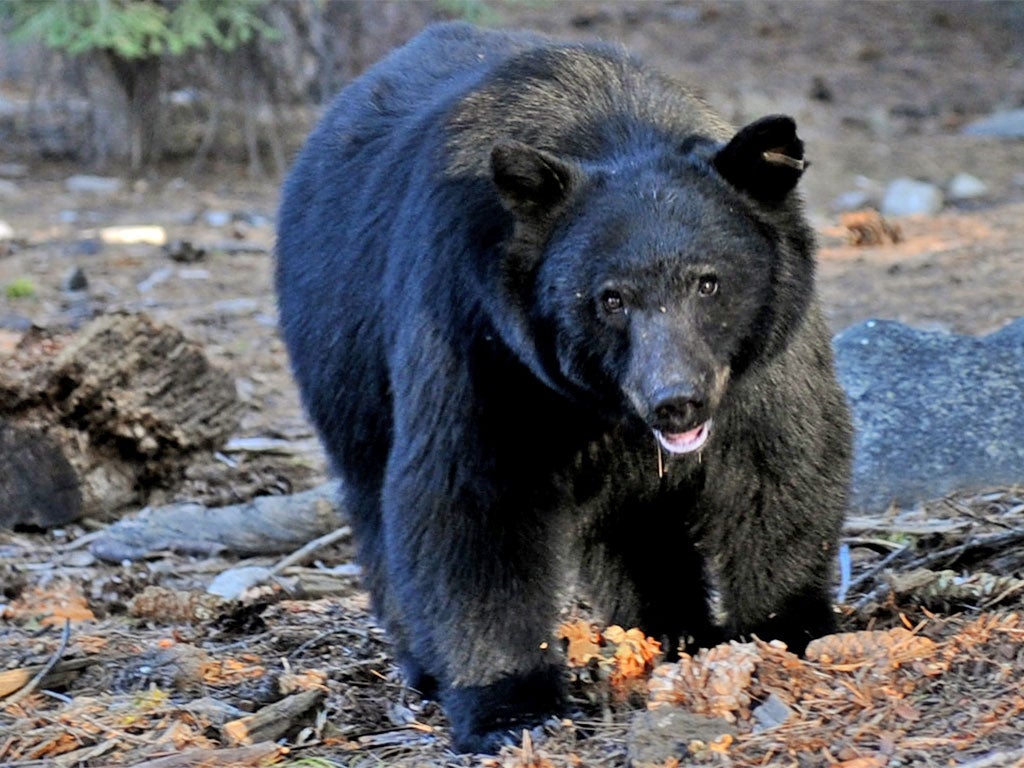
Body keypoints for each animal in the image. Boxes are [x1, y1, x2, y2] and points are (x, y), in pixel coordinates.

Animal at [276, 20, 851, 753]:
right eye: (609, 298)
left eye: (709, 281)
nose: (676, 401)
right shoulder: (481, 337)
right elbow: (472, 498)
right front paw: (510, 706)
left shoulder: (763, 360)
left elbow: (780, 464)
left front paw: (788, 631)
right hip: (342, 356)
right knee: (375, 500)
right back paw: (425, 663)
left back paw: (669, 629)